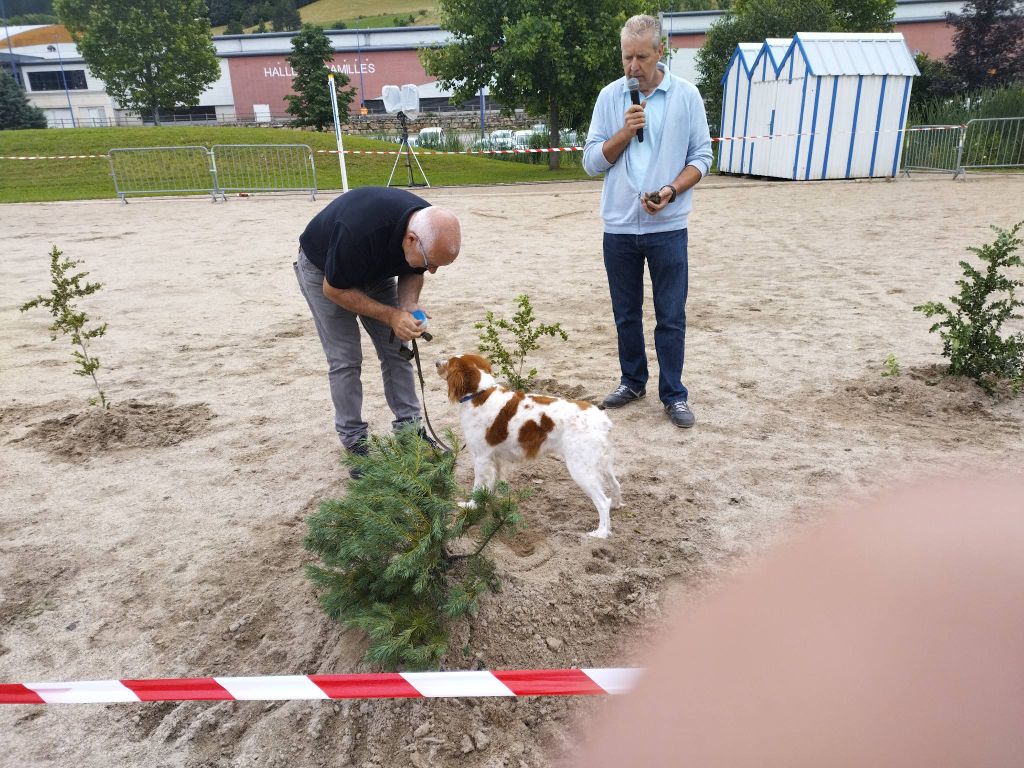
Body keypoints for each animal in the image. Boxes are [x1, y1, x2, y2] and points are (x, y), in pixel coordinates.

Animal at [436, 358, 618, 536]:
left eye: (449, 363)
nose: (436, 362)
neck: (479, 394)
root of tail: (602, 419)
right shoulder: (493, 459)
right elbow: (489, 487)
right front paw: (487, 503)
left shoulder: (481, 458)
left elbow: (477, 487)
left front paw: (472, 506)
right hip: (601, 464)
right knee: (615, 486)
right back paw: (615, 507)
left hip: (580, 469)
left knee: (603, 502)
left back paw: (601, 533)